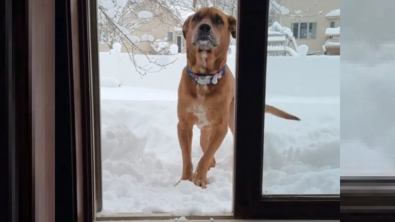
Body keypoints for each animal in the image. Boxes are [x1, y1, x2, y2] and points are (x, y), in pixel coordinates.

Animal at [177, 7, 300, 187]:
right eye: (197, 18)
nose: (204, 27)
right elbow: (187, 157)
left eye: (218, 20)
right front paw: (185, 181)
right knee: (206, 149)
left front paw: (199, 180)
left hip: (231, 122)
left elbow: (206, 156)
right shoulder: (184, 125)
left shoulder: (220, 127)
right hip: (205, 130)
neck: (204, 78)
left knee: (209, 151)